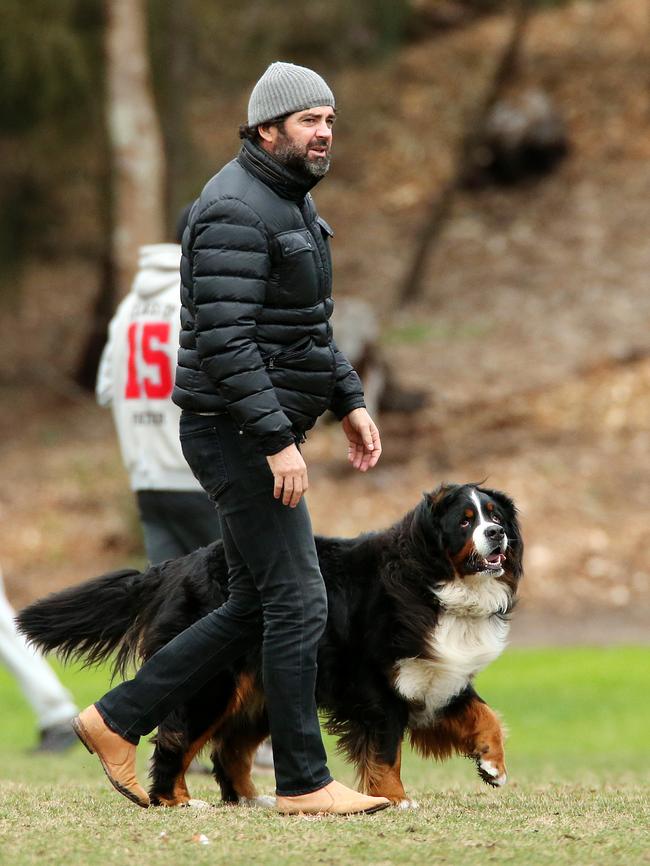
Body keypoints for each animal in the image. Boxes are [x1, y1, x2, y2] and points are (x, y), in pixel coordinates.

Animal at [16, 482, 520, 808]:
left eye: (494, 516)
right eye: (465, 522)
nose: (498, 535)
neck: (434, 583)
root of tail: (179, 564)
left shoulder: (438, 678)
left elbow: (487, 715)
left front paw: (492, 765)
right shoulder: (377, 690)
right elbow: (385, 753)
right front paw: (394, 800)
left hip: (261, 687)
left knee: (229, 750)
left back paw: (249, 800)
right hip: (214, 683)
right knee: (178, 739)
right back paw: (174, 800)